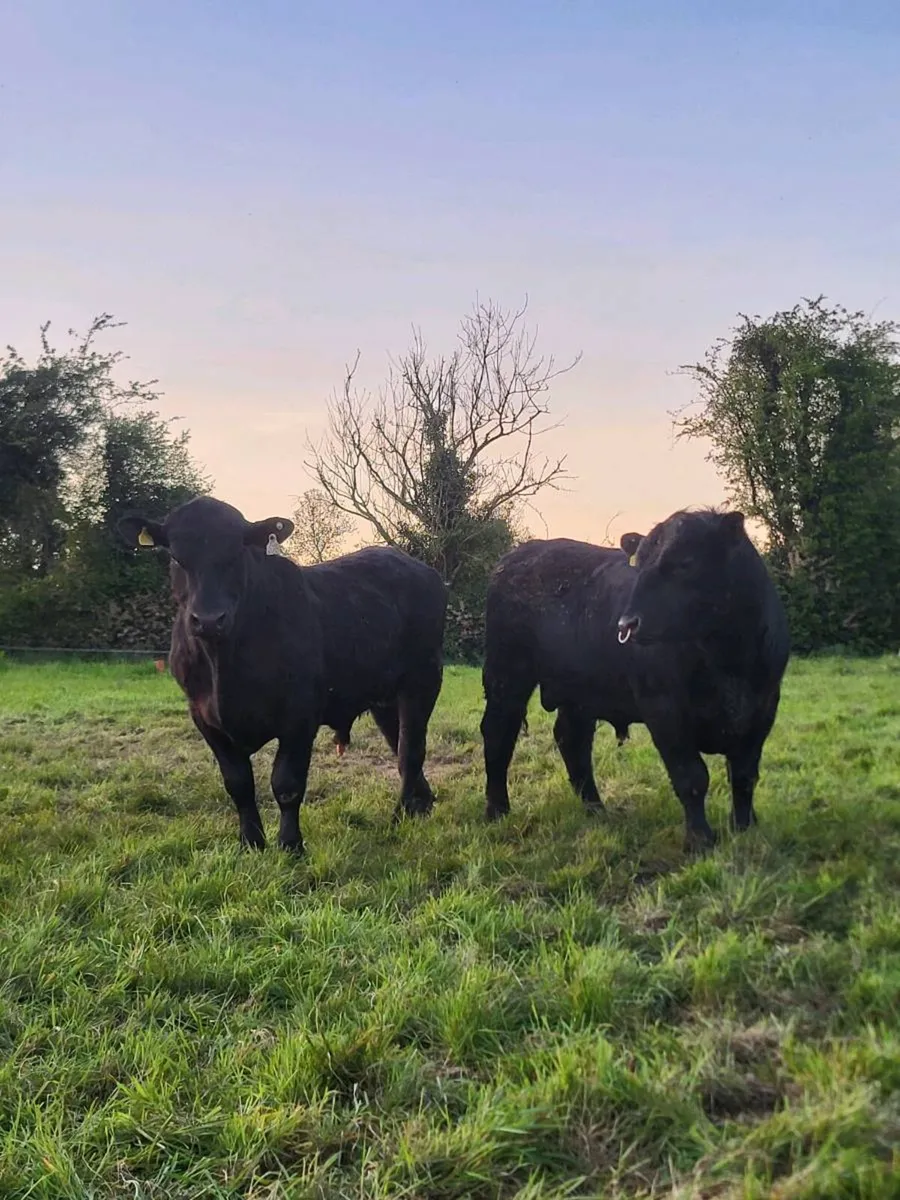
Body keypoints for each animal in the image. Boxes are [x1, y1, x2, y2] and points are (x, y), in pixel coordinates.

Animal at [118, 495, 447, 853]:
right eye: (176, 557)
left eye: (237, 553)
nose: (208, 620)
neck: (224, 668)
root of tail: (416, 566)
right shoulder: (204, 717)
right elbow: (238, 783)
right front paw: (250, 842)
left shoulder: (301, 715)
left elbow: (287, 783)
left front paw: (291, 845)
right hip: (383, 695)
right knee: (398, 742)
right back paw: (420, 805)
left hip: (423, 678)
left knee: (410, 750)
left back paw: (401, 815)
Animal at [480, 509, 789, 850]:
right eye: (639, 568)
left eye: (686, 563)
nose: (627, 624)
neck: (728, 660)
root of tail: (518, 555)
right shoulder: (664, 709)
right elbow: (692, 777)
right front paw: (700, 839)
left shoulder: (763, 708)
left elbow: (744, 775)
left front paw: (746, 829)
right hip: (506, 674)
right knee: (498, 732)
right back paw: (497, 810)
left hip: (579, 691)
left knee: (571, 740)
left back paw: (596, 809)